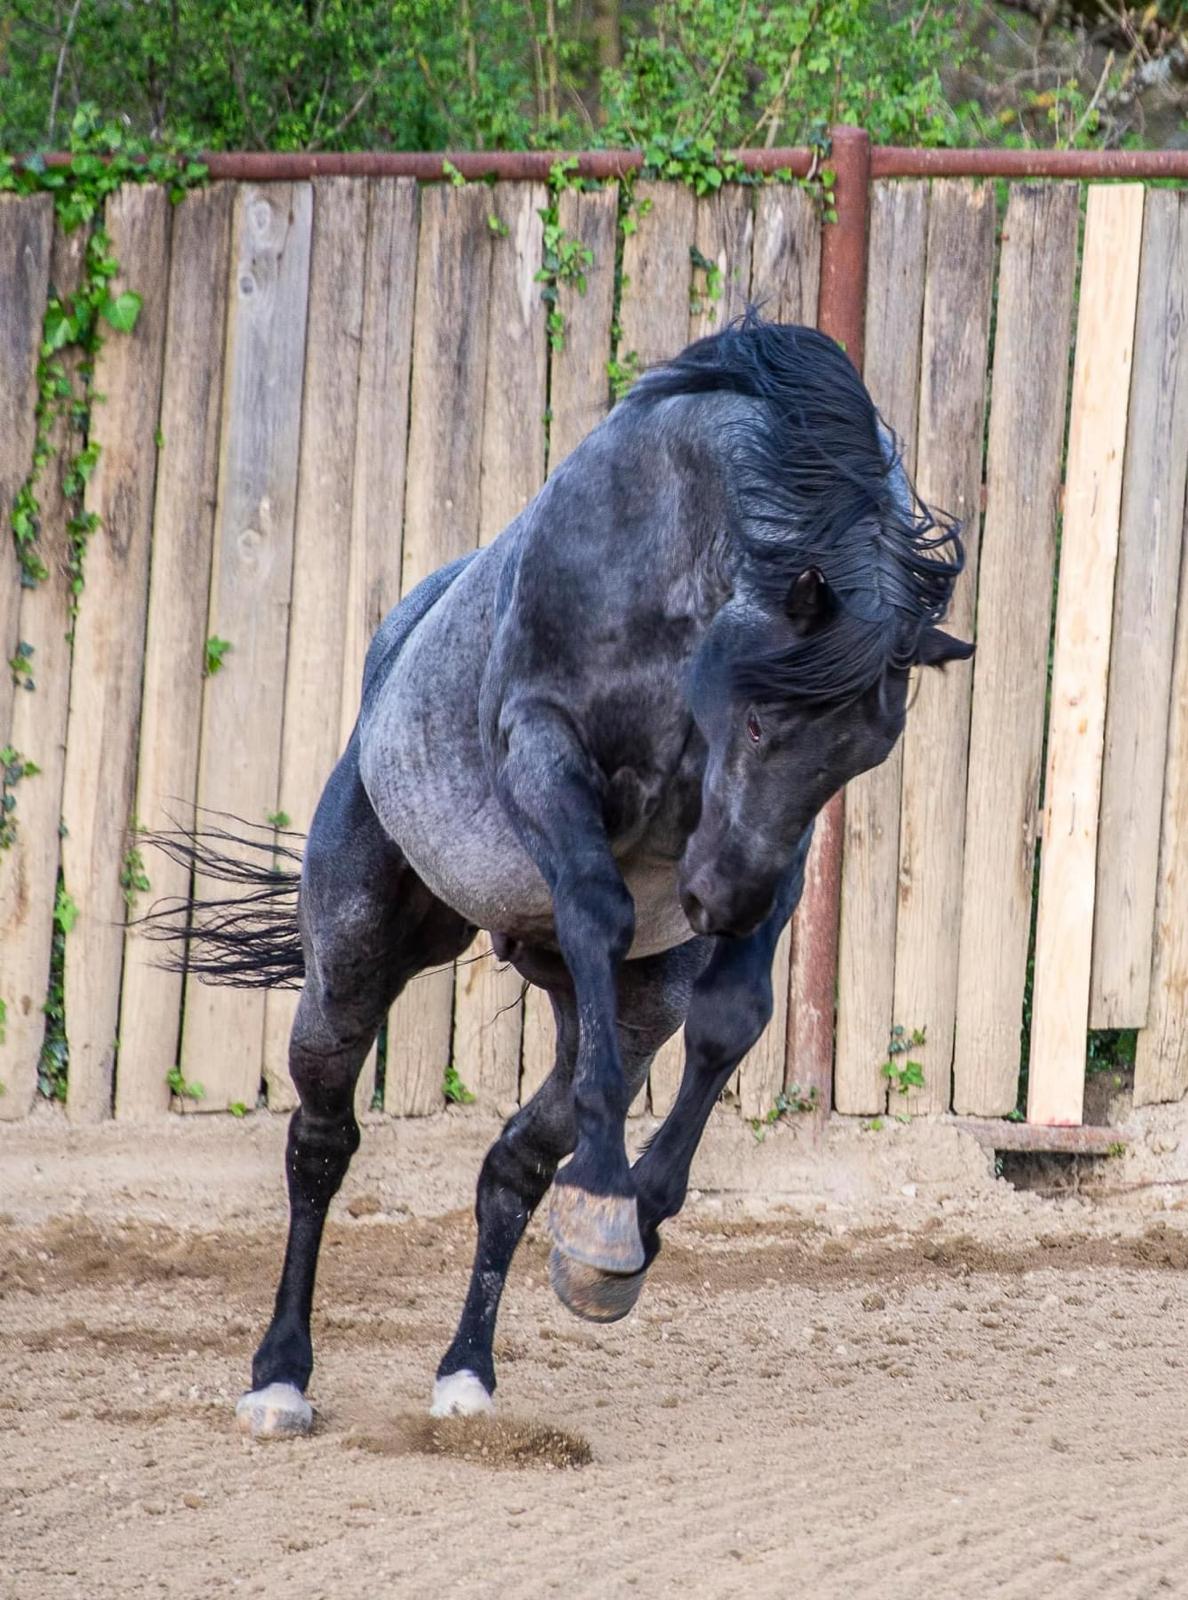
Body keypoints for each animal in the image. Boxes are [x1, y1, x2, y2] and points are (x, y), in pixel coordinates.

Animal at [148, 312, 973, 1440]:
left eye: (862, 757)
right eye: (763, 719)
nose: (719, 901)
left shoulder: (772, 861)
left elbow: (732, 1018)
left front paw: (633, 1219)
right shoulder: (545, 753)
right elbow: (599, 906)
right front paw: (614, 1201)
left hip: (623, 1000)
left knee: (517, 1162)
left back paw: (469, 1369)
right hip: (352, 964)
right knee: (322, 1140)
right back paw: (280, 1375)